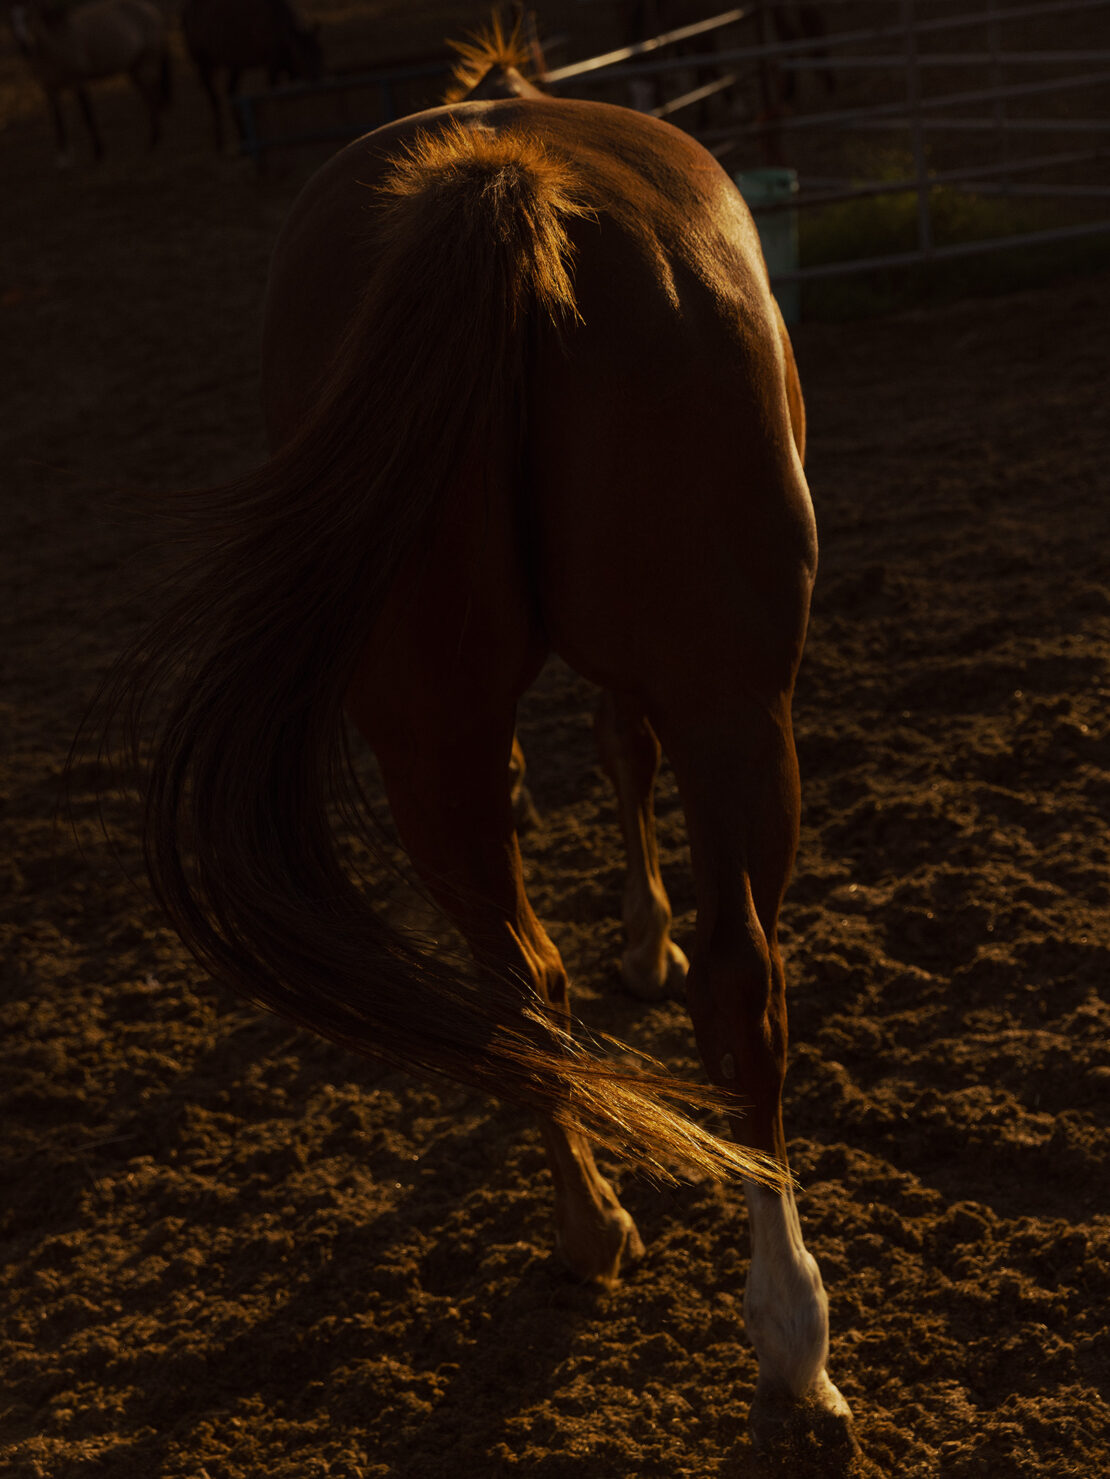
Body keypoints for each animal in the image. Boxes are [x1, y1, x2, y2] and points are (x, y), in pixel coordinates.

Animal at [10, 0, 170, 166]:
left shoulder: (78, 82)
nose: (24, 47)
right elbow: (58, 120)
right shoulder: (50, 89)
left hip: (147, 64)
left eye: (29, 16)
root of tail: (152, 11)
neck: (57, 41)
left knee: (153, 96)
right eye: (11, 21)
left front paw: (99, 152)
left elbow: (87, 115)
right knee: (148, 98)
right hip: (135, 69)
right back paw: (152, 142)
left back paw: (154, 141)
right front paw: (63, 158)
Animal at [95, 25, 857, 1463]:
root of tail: (503, 186)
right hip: (736, 706)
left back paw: (590, 1224)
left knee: (519, 986)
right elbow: (622, 754)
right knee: (742, 990)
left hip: (428, 734)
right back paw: (790, 1333)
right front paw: (645, 936)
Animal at [180, 0, 323, 152]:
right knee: (214, 99)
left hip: (234, 66)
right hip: (205, 65)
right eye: (300, 54)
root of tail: (185, 12)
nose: (316, 77)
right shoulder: (272, 66)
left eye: (320, 51)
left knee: (230, 92)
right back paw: (220, 143)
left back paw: (243, 138)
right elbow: (273, 92)